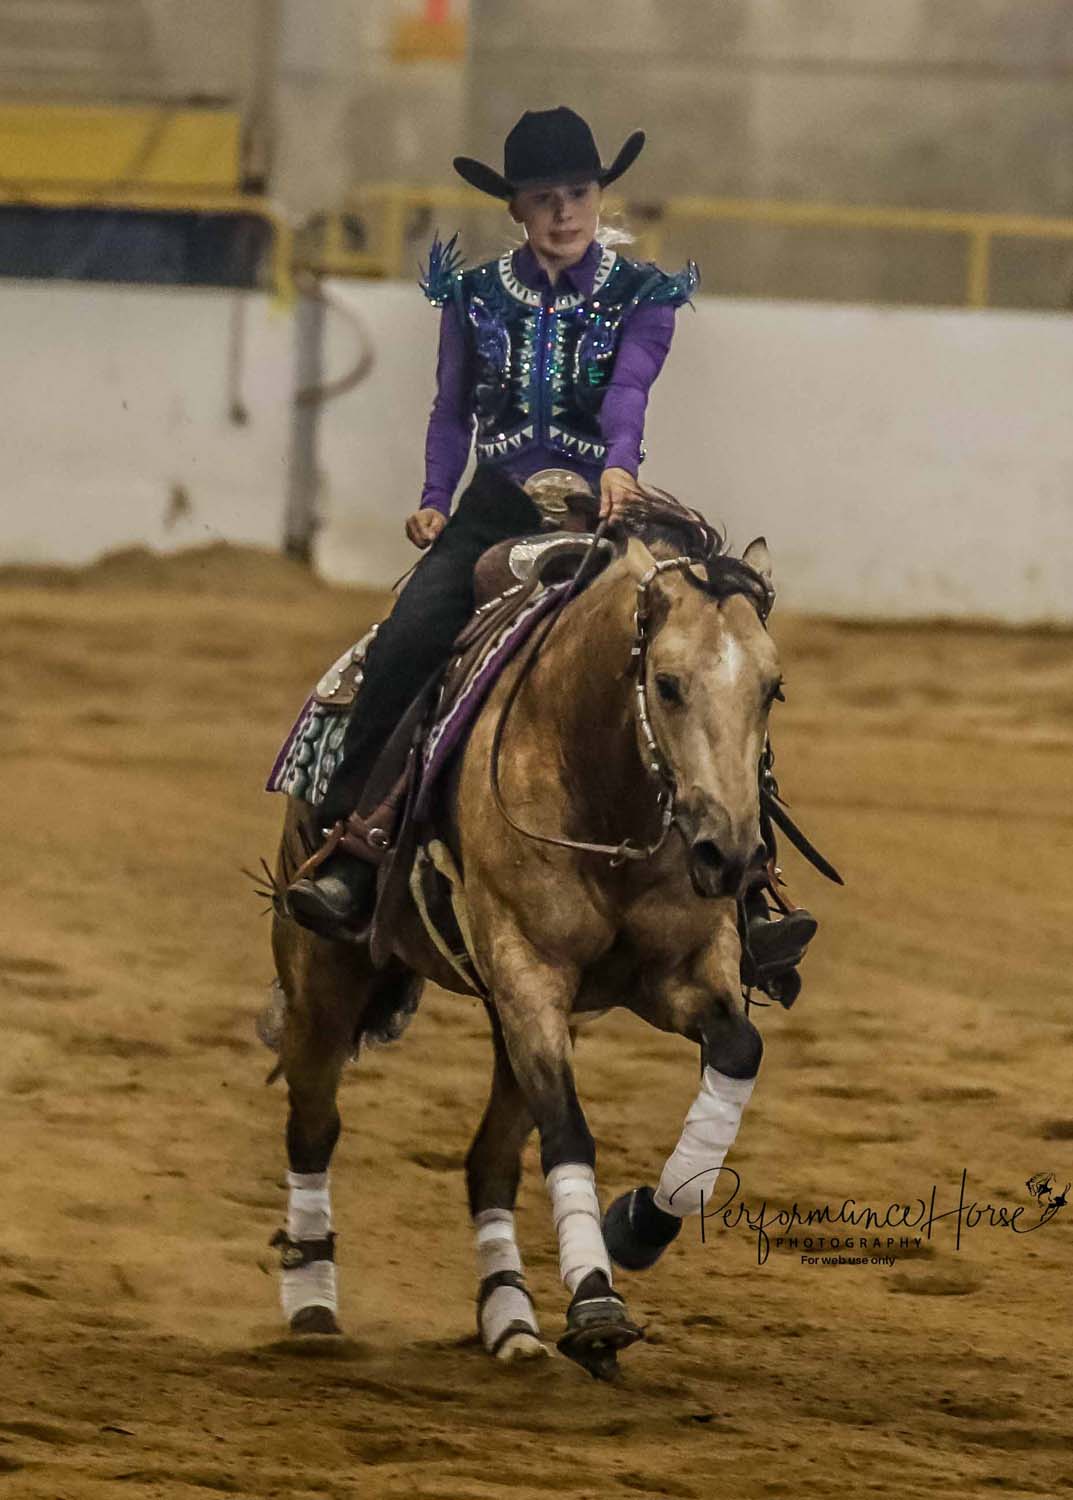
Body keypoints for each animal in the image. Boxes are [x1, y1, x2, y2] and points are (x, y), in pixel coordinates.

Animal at [268, 520, 782, 1380]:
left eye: (772, 689)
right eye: (667, 683)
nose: (730, 855)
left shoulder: (672, 976)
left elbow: (737, 1050)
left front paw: (637, 1223)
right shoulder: (527, 970)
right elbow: (568, 1131)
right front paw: (597, 1304)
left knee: (489, 1161)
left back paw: (508, 1315)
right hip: (324, 973)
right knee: (314, 1126)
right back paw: (311, 1301)